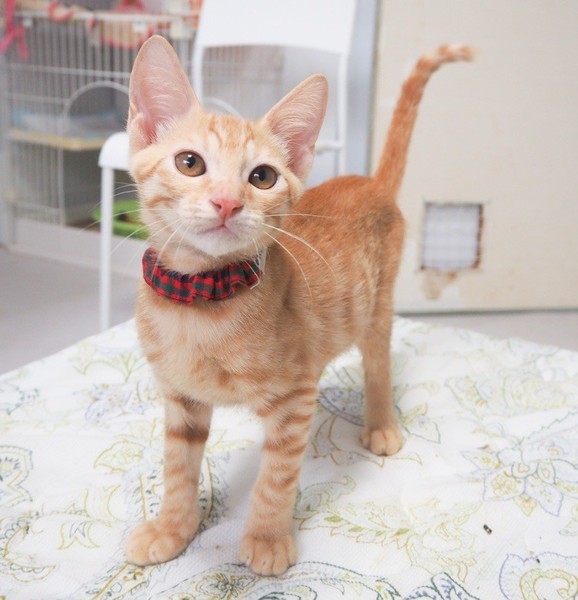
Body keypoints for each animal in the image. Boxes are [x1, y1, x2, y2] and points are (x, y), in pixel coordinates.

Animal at [125, 35, 473, 576]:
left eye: (262, 176)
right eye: (190, 163)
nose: (227, 203)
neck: (200, 303)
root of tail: (370, 181)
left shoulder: (294, 399)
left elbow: (276, 478)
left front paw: (267, 539)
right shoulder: (180, 399)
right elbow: (177, 470)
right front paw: (172, 529)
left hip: (377, 308)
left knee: (378, 363)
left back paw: (381, 425)